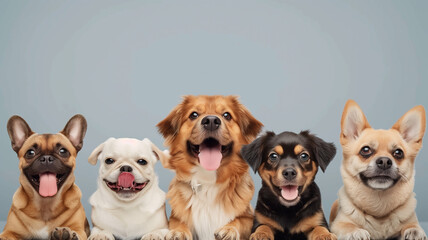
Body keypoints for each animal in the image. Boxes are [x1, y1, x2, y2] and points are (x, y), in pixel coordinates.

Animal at [157, 95, 262, 240]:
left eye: (227, 115)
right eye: (194, 115)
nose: (211, 121)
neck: (208, 178)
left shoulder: (248, 216)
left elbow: (240, 220)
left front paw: (229, 229)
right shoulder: (175, 216)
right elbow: (179, 222)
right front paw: (178, 231)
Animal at [330, 100, 426, 239]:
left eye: (398, 153)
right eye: (365, 150)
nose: (385, 161)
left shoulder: (411, 219)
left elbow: (412, 225)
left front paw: (414, 230)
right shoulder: (337, 224)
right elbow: (348, 226)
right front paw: (356, 231)